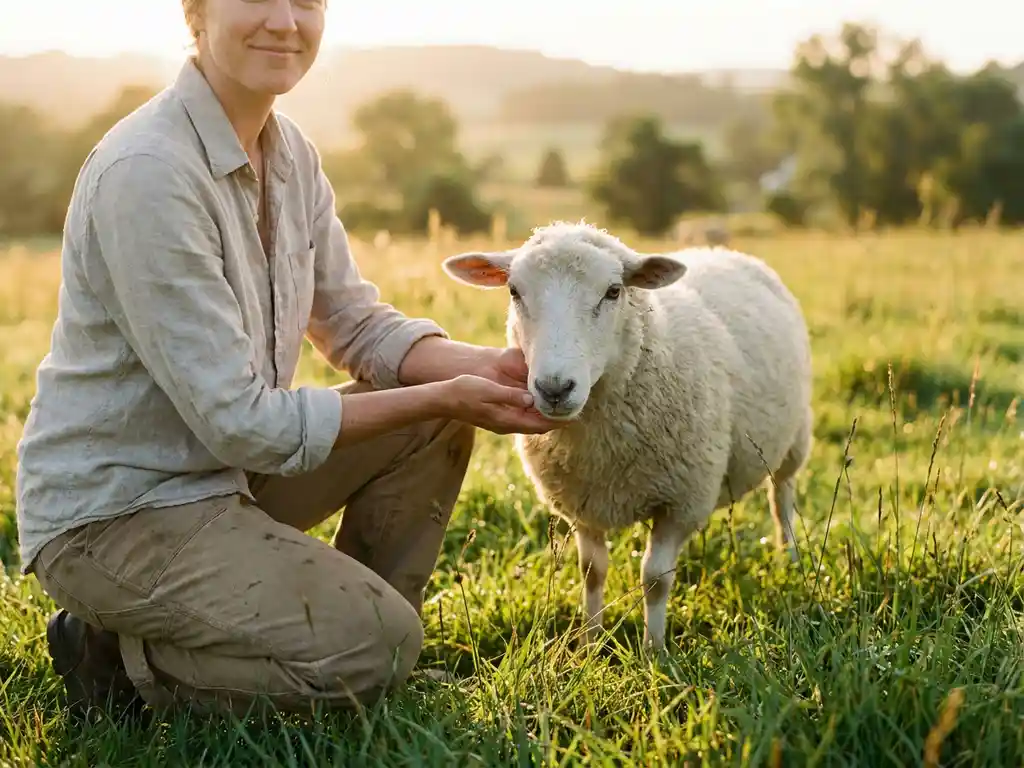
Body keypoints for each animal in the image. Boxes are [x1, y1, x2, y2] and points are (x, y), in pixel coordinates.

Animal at [441, 221, 813, 652]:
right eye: (515, 291)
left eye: (614, 291)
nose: (555, 389)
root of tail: (723, 250)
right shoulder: (582, 502)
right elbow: (591, 571)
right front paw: (589, 643)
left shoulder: (680, 501)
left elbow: (655, 580)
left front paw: (654, 652)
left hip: (794, 441)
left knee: (781, 499)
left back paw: (789, 556)